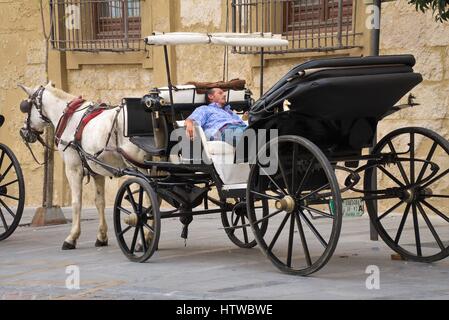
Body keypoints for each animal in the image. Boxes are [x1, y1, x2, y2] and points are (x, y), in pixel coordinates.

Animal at [19, 82, 149, 250]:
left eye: (26, 106)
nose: (23, 132)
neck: (70, 118)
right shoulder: (97, 171)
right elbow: (99, 202)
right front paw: (101, 237)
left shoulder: (73, 169)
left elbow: (76, 202)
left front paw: (72, 237)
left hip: (139, 167)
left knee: (149, 198)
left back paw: (143, 239)